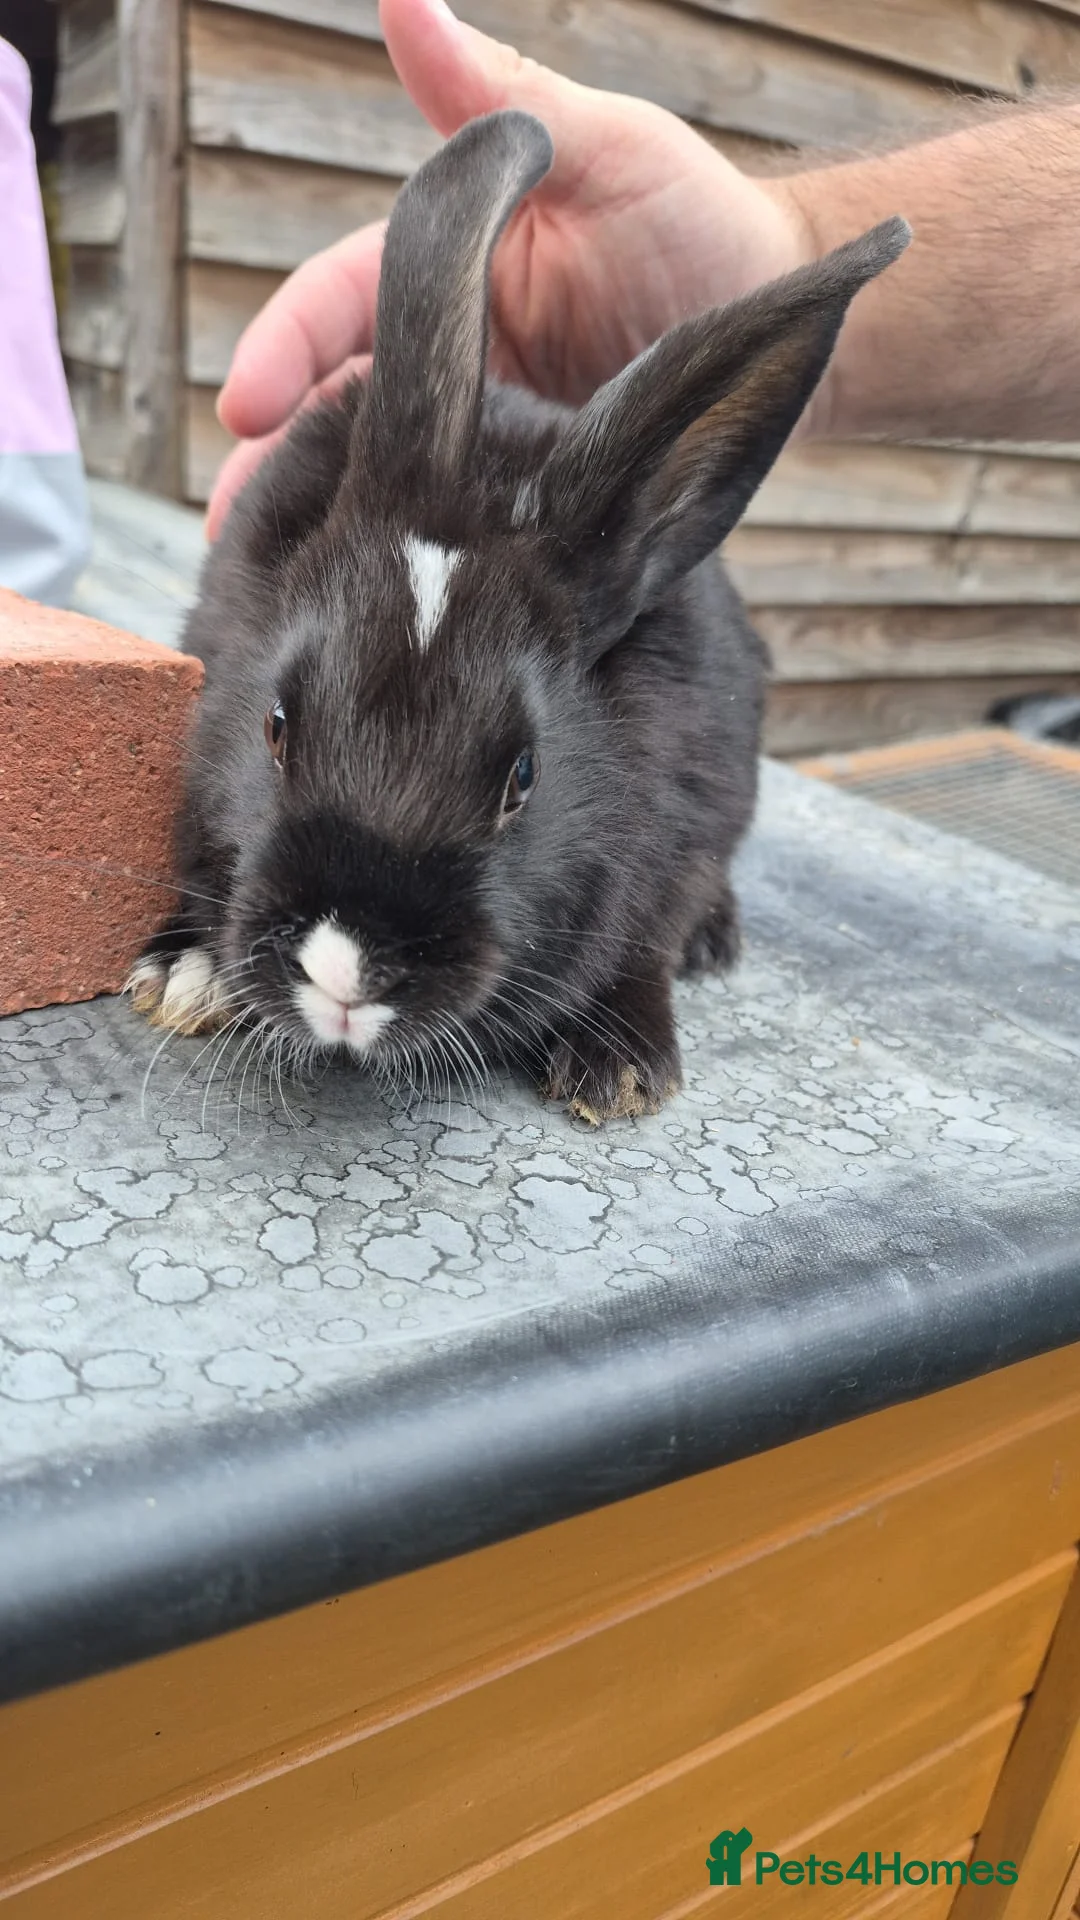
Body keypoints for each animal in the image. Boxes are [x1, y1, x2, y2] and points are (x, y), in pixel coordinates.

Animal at [128, 110, 908, 1123]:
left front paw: (620, 1066)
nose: (346, 973)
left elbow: (642, 938)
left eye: (524, 777)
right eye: (275, 725)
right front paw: (183, 973)